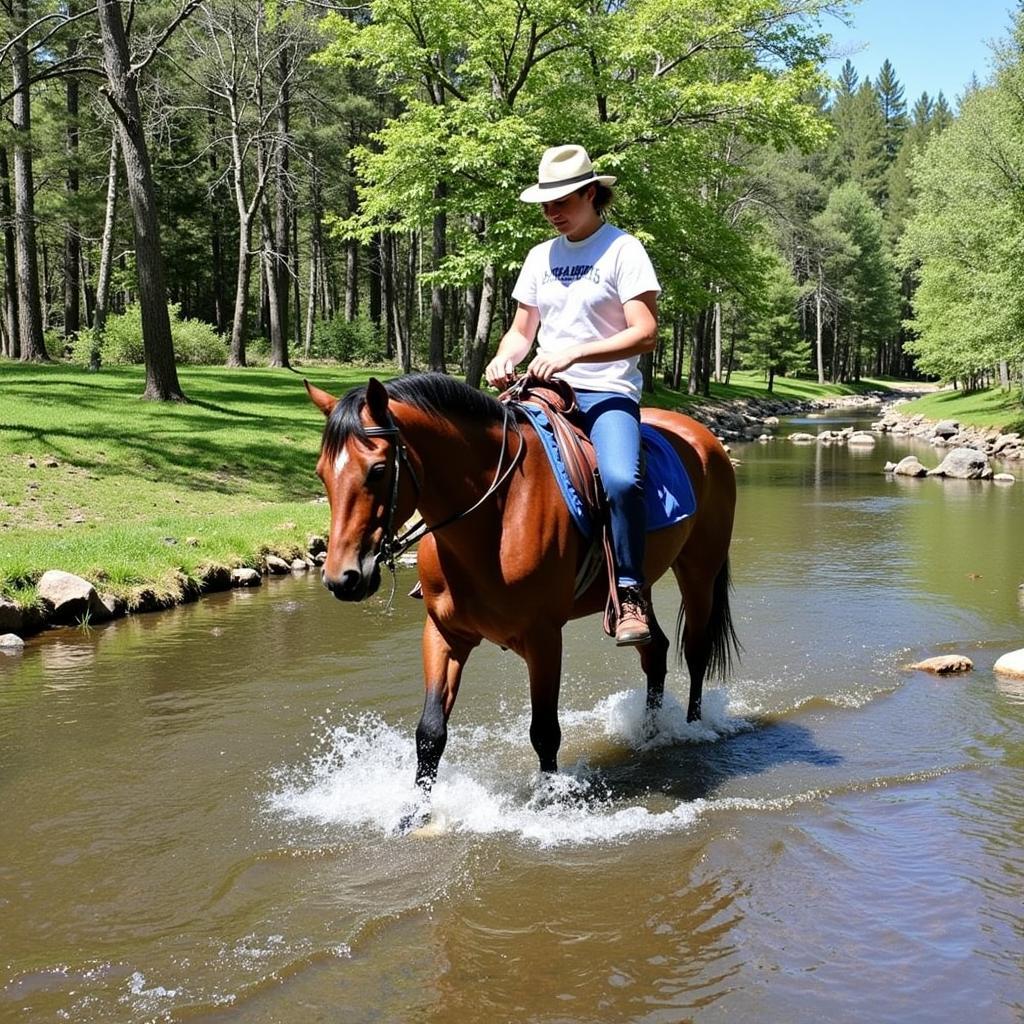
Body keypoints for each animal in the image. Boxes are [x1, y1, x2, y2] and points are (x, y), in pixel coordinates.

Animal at [303, 376, 737, 798]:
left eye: (377, 469)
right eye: (322, 472)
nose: (342, 578)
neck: (494, 517)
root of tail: (704, 435)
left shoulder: (543, 637)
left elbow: (545, 732)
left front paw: (549, 801)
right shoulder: (444, 633)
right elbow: (430, 734)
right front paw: (414, 814)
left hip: (699, 573)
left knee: (695, 652)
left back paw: (692, 728)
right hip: (636, 588)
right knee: (655, 651)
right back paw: (651, 731)